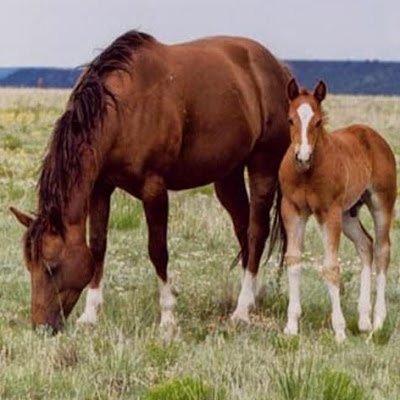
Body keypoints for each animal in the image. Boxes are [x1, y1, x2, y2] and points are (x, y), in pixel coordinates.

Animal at [10, 29, 290, 332]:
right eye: (29, 265)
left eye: (51, 266)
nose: (41, 327)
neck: (122, 111)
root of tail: (278, 68)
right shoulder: (100, 188)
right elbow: (97, 247)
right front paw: (90, 314)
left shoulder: (154, 189)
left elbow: (158, 250)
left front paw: (168, 317)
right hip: (228, 176)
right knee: (243, 231)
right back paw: (253, 297)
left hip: (263, 165)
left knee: (256, 232)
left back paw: (241, 309)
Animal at [280, 79, 398, 342]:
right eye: (290, 120)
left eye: (318, 122)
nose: (302, 157)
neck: (307, 174)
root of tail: (373, 135)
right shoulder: (292, 209)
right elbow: (293, 259)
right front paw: (291, 326)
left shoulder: (329, 212)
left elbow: (331, 268)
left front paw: (340, 331)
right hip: (348, 214)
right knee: (365, 245)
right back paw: (363, 320)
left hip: (381, 203)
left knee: (382, 250)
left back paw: (377, 322)